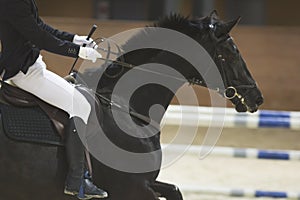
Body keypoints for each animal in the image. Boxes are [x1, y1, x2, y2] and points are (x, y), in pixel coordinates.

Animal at [0, 11, 262, 200]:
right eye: (231, 52)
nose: (257, 97)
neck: (125, 108)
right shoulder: (134, 188)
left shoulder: (145, 183)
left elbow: (175, 190)